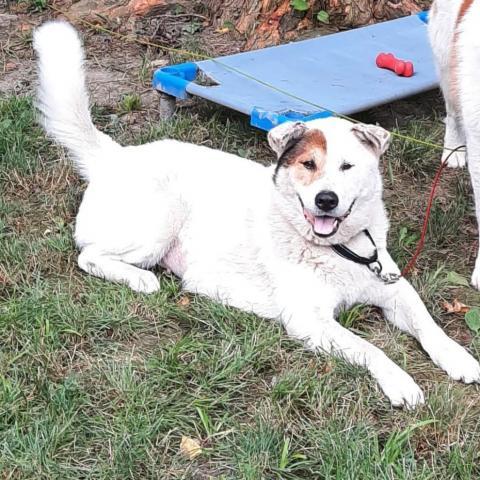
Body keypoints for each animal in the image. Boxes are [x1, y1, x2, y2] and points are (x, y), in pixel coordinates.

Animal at [33, 20, 480, 406]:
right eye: (308, 165)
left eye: (347, 166)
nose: (326, 200)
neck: (339, 248)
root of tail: (115, 156)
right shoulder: (310, 321)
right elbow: (370, 348)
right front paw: (401, 382)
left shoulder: (393, 288)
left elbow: (428, 324)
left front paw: (460, 358)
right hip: (156, 224)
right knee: (90, 256)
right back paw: (140, 279)